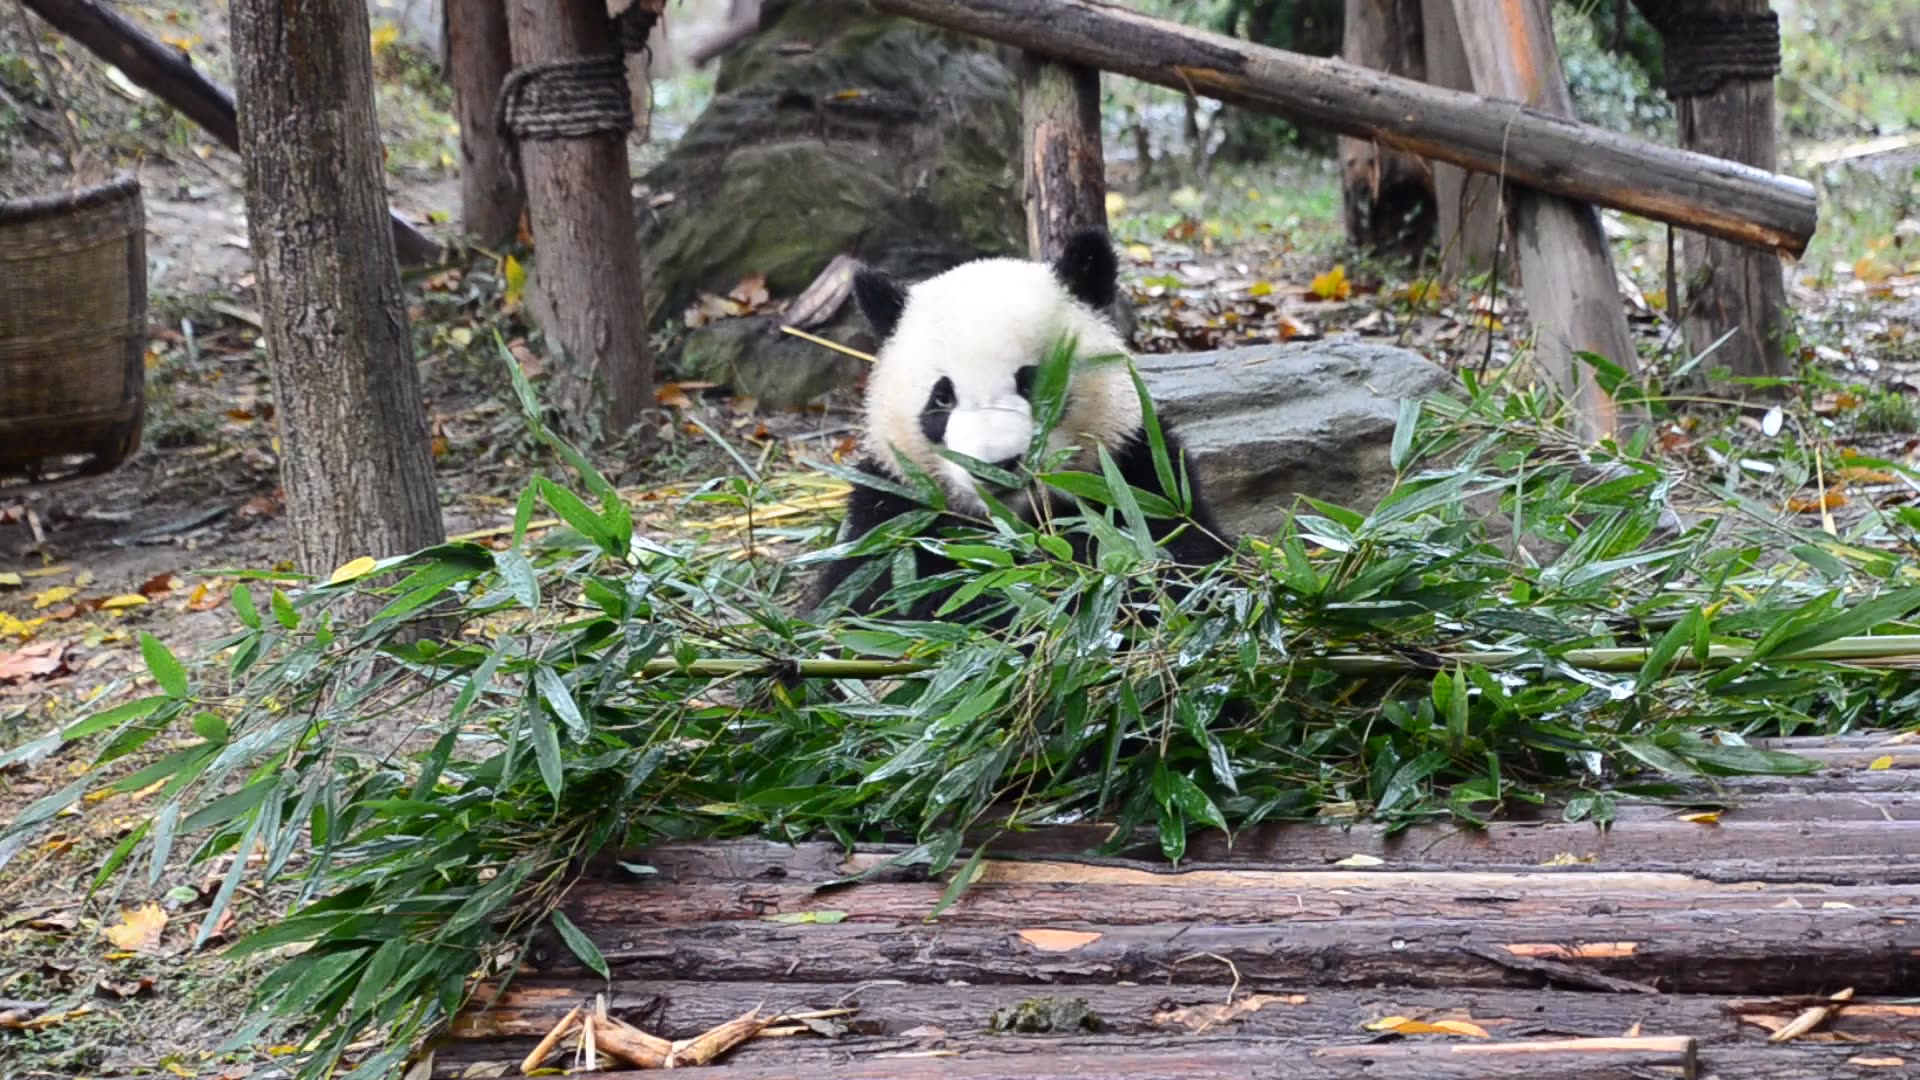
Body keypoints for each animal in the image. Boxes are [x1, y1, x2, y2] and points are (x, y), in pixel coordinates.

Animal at [806, 228, 1228, 630]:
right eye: (942, 399)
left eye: (1034, 382)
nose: (996, 466)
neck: (1018, 522)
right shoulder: (893, 511)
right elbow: (887, 600)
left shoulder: (1136, 471)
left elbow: (1175, 563)